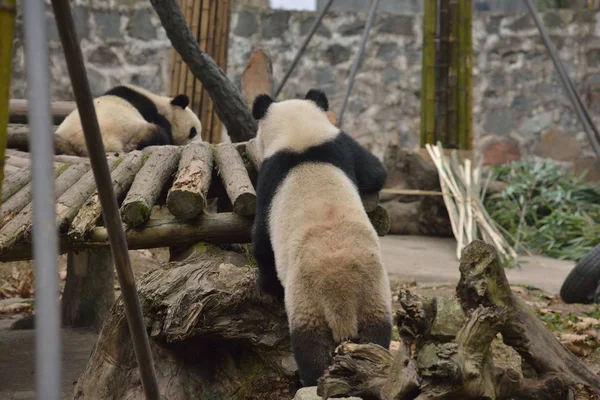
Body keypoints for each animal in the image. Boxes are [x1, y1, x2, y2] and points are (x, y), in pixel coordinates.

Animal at [52, 83, 202, 155]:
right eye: (193, 131)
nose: (199, 143)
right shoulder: (149, 110)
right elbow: (165, 132)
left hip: (62, 138)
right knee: (155, 132)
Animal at [250, 88, 394, 388]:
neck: (301, 142)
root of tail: (342, 301)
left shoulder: (269, 179)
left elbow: (262, 241)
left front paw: (267, 286)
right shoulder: (338, 145)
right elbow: (375, 172)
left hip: (307, 301)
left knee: (309, 347)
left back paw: (311, 380)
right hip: (375, 295)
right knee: (377, 335)